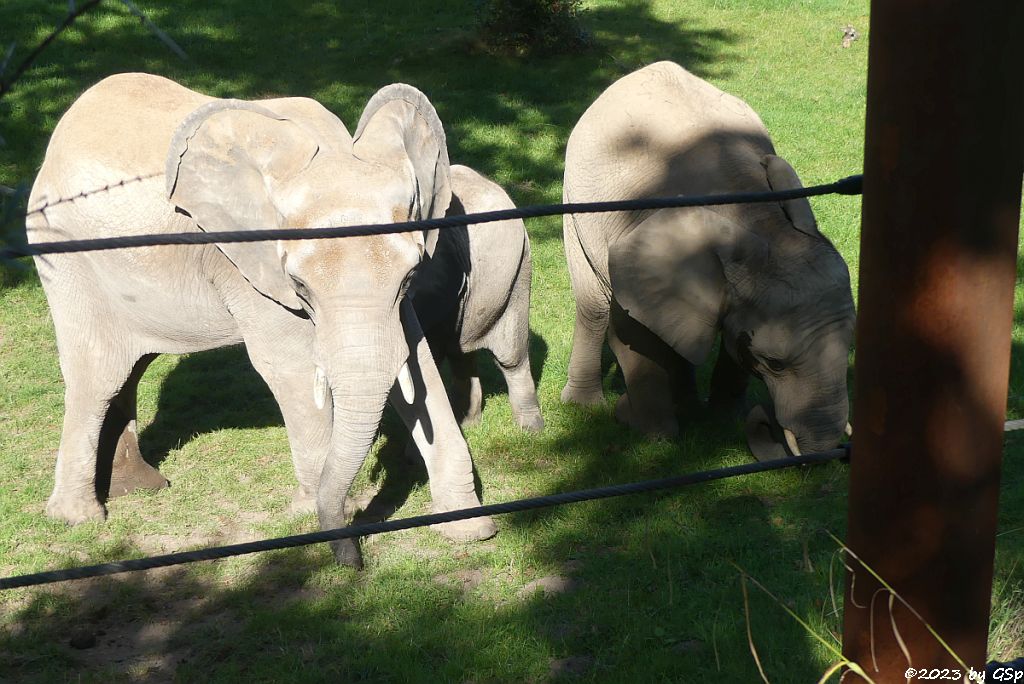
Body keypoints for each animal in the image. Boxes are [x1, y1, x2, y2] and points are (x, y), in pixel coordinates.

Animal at [25, 73, 497, 565]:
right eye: (300, 285)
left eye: (410, 276)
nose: (353, 561)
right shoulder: (247, 263)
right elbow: (290, 366)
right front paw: (319, 516)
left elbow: (414, 359)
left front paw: (470, 529)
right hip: (64, 259)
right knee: (99, 376)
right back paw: (80, 518)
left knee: (131, 368)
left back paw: (140, 488)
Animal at [561, 62, 856, 458]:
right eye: (774, 363)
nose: (767, 424)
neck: (760, 219)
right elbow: (630, 335)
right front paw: (653, 436)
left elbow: (731, 346)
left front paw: (724, 422)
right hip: (575, 200)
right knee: (593, 305)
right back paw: (585, 406)